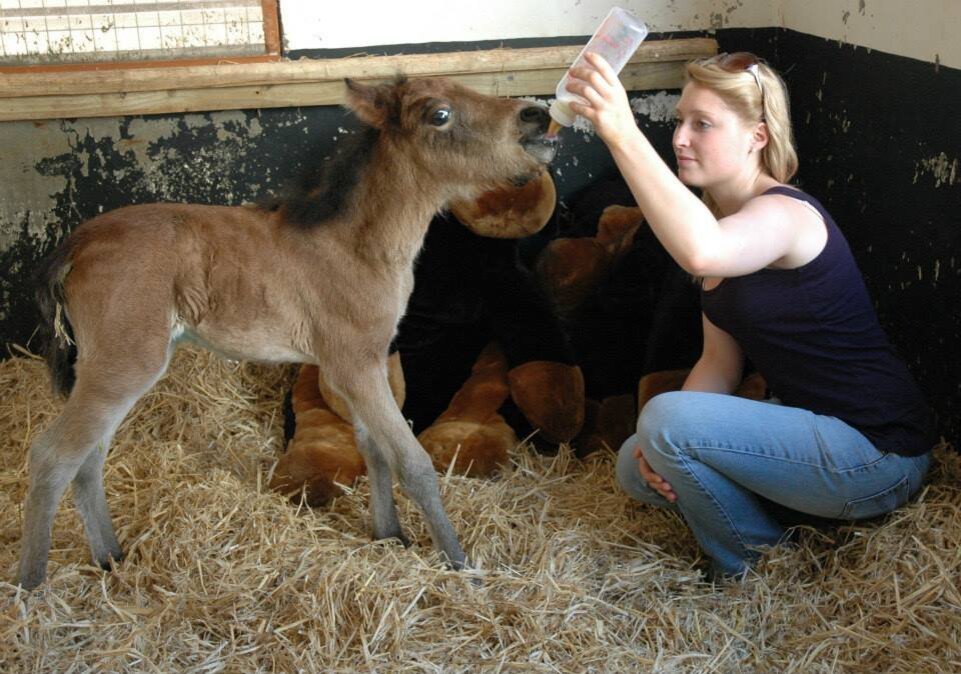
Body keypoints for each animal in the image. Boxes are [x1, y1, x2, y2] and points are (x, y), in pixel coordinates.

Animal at [16, 75, 556, 588]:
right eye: (439, 114)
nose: (537, 115)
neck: (357, 245)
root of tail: (76, 244)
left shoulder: (352, 365)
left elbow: (374, 451)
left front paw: (389, 535)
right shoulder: (357, 365)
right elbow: (414, 463)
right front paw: (461, 565)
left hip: (112, 371)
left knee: (88, 456)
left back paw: (111, 558)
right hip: (124, 364)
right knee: (53, 456)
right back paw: (32, 587)